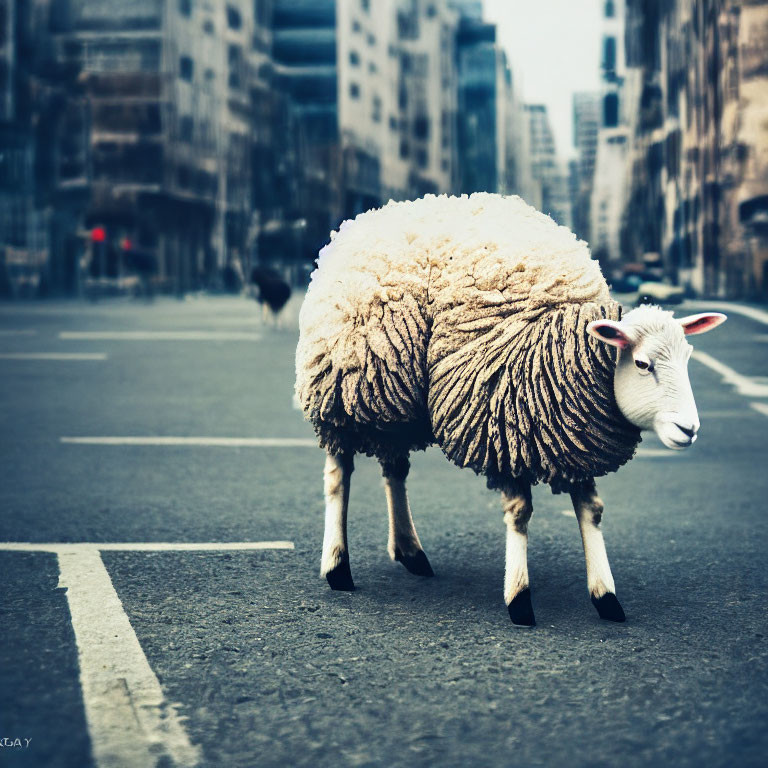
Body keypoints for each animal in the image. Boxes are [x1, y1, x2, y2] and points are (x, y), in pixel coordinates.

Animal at [294, 192, 728, 624]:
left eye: (688, 357)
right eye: (642, 363)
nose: (690, 428)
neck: (565, 344)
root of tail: (363, 219)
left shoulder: (570, 434)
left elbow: (591, 510)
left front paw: (606, 597)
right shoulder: (503, 428)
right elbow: (520, 512)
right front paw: (519, 598)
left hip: (389, 396)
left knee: (394, 467)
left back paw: (410, 552)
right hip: (340, 392)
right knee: (338, 475)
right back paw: (338, 568)